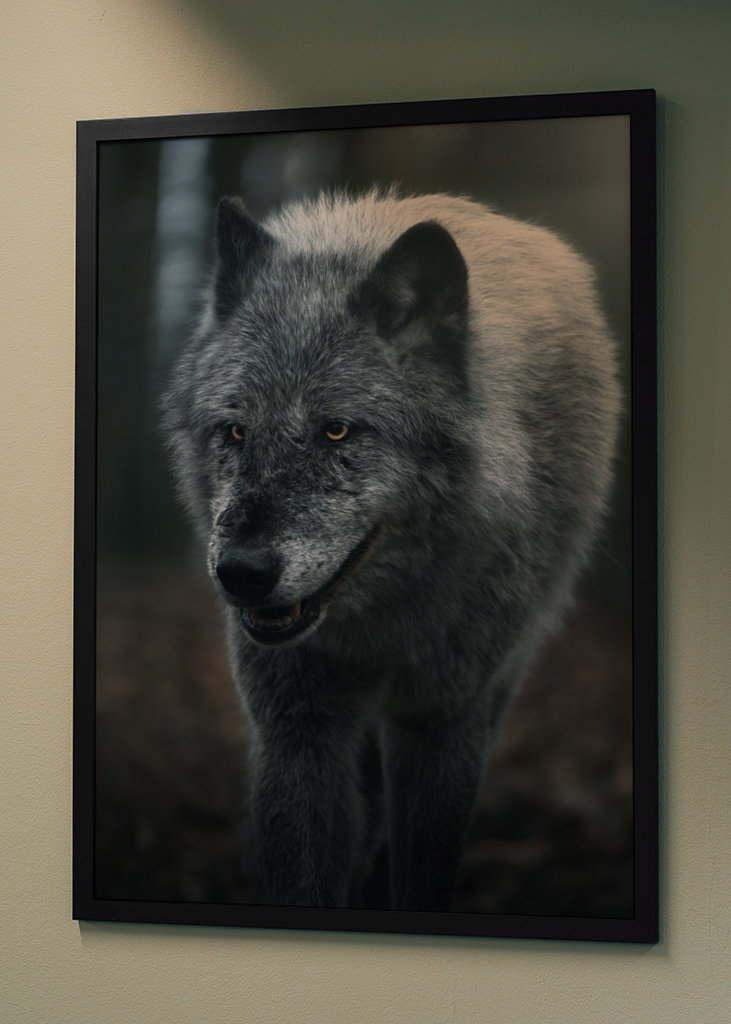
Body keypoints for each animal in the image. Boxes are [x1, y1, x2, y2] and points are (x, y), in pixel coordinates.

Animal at [162, 189, 620, 912]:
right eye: (234, 431)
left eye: (337, 431)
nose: (241, 574)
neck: (379, 622)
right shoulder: (296, 730)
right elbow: (304, 872)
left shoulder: (442, 722)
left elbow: (425, 870)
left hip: (498, 682)